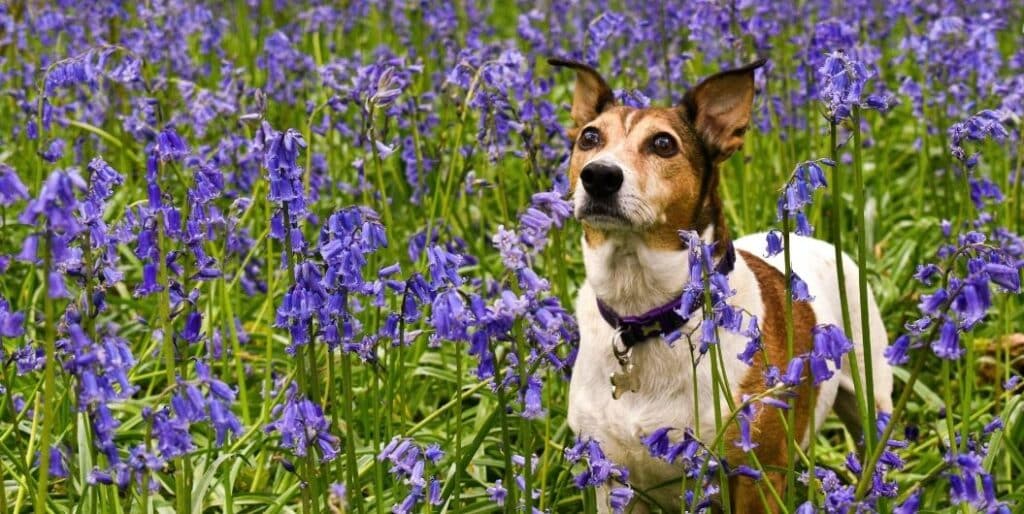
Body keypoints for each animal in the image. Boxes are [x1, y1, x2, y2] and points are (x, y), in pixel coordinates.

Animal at [548, 57, 892, 514]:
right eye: (590, 137)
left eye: (663, 144)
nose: (599, 176)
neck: (647, 316)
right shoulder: (609, 476)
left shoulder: (755, 476)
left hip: (872, 397)